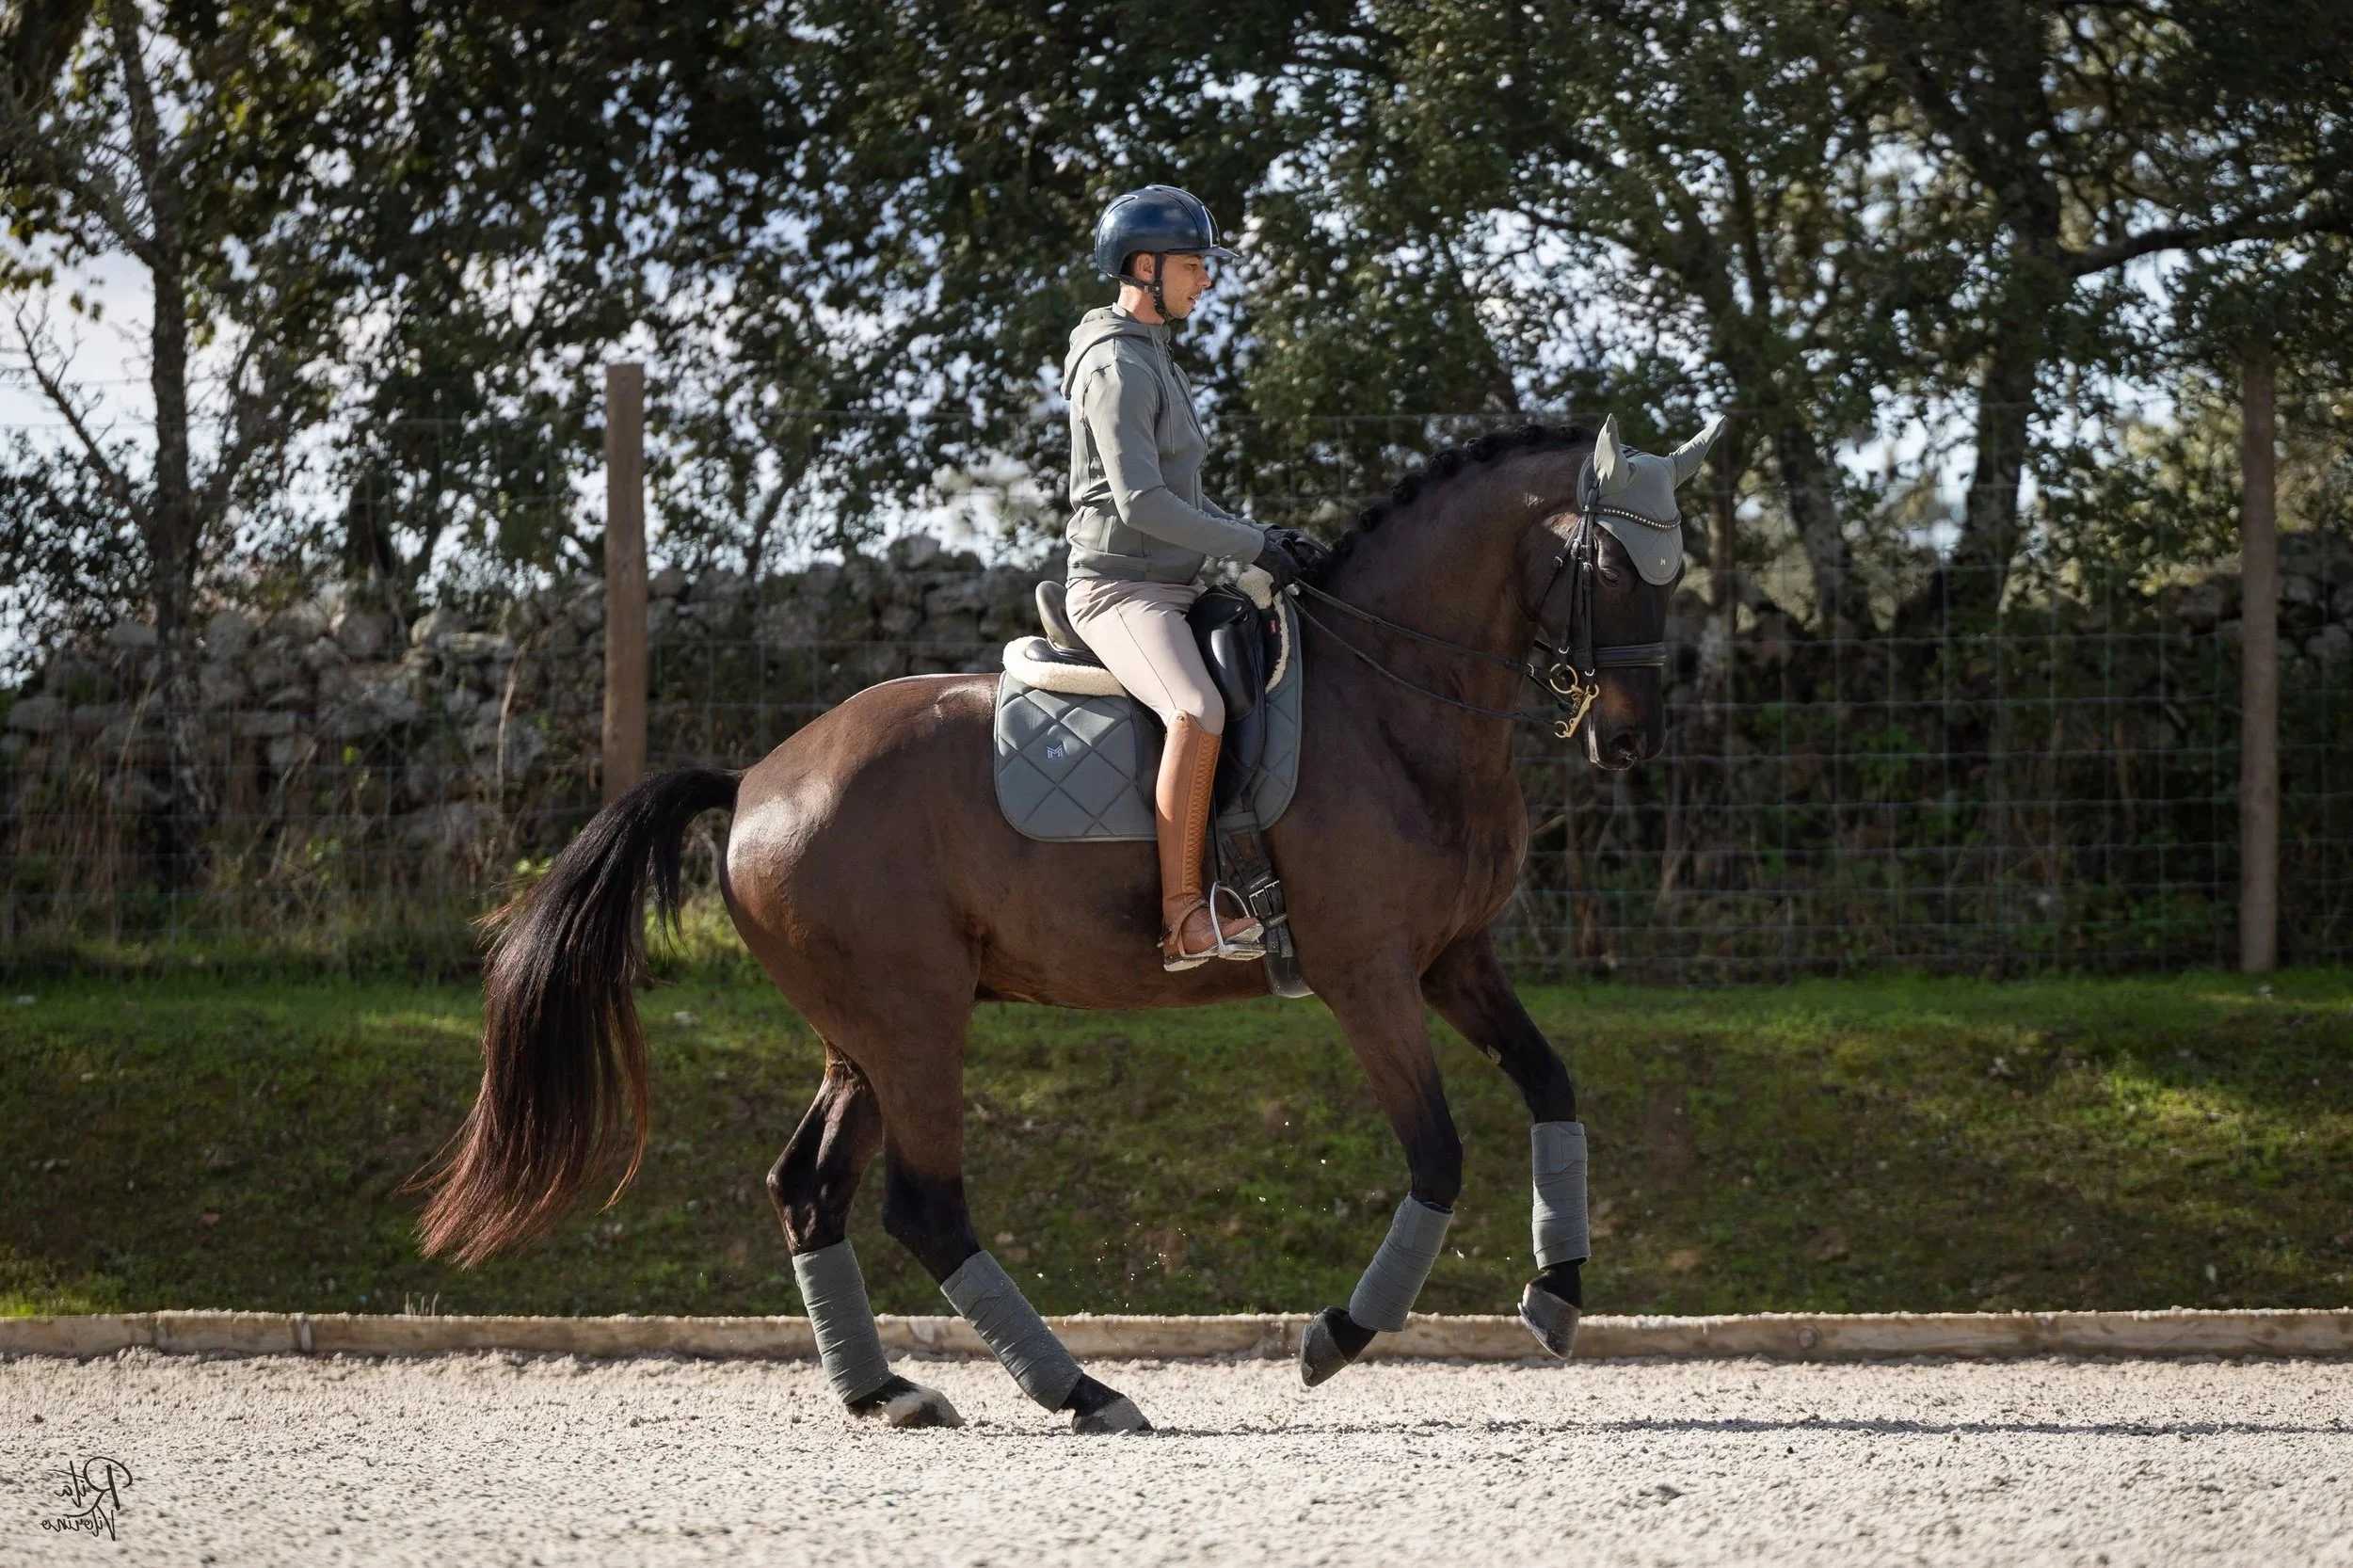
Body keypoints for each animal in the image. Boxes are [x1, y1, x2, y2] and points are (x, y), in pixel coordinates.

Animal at [415, 415, 1721, 1432]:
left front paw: (1557, 1294)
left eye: (1674, 571)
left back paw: (886, 1392)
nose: (1630, 739)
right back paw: (1081, 1390)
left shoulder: (1452, 959)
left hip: (862, 1037)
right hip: (915, 1021)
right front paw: (1337, 1335)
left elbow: (1551, 1086)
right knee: (922, 1203)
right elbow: (1439, 1154)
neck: (1393, 703)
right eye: (1609, 561)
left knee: (809, 1188)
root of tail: (754, 782)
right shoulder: (1367, 975)